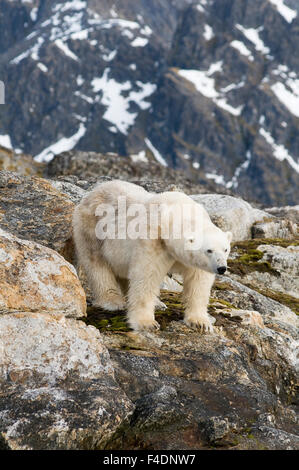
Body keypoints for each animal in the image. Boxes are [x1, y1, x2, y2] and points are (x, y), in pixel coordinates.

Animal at [72, 179, 232, 330]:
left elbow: (198, 282)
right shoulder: (154, 239)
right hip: (92, 230)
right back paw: (112, 301)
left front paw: (200, 323)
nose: (221, 268)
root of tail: (92, 192)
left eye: (225, 249)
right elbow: (147, 276)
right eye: (209, 250)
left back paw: (158, 302)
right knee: (97, 265)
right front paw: (146, 323)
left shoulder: (194, 262)